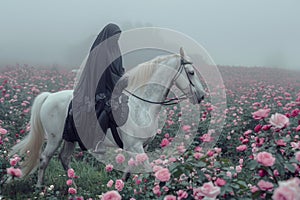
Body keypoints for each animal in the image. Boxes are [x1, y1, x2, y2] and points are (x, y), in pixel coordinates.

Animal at [9, 47, 206, 187]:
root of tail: (49, 97)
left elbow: (129, 171)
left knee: (64, 158)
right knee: (44, 159)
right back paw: (40, 188)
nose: (202, 95)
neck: (142, 106)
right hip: (54, 138)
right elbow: (150, 170)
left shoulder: (139, 147)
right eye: (191, 72)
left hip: (70, 138)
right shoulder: (136, 146)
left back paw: (74, 186)